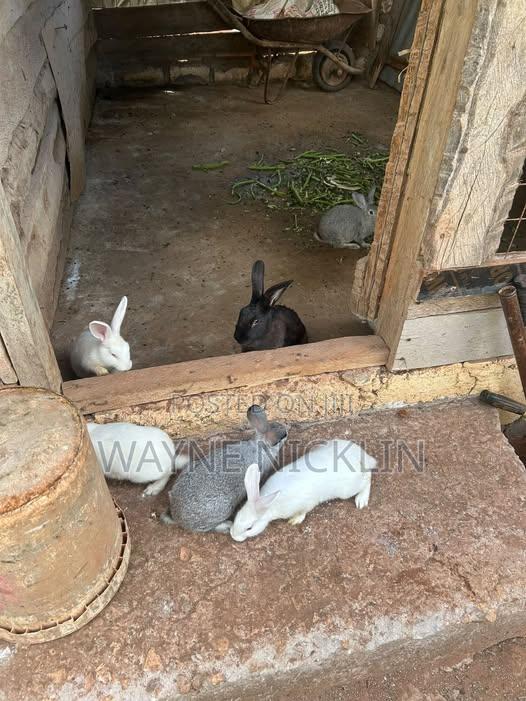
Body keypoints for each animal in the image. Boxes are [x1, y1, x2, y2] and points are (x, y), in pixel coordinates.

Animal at [230, 439, 375, 542]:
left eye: (249, 528)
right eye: (236, 516)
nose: (233, 536)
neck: (270, 504)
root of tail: (361, 456)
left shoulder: (305, 504)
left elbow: (303, 512)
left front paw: (295, 520)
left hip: (348, 489)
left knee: (367, 479)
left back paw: (361, 500)